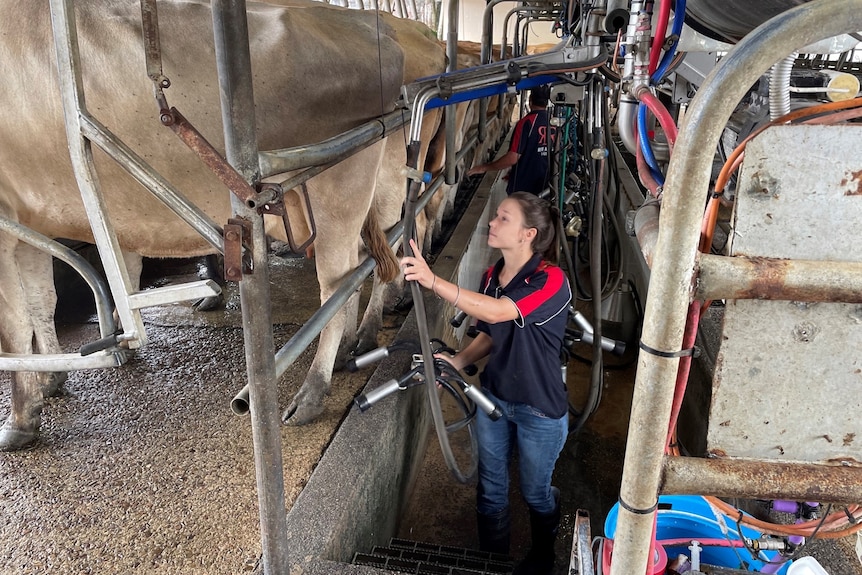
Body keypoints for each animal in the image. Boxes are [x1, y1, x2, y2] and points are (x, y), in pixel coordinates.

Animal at [0, 0, 446, 450]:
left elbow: (13, 327)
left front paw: (20, 417)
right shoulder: (30, 227)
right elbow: (41, 302)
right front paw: (50, 380)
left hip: (342, 196)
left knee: (343, 284)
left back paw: (315, 388)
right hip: (375, 187)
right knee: (380, 253)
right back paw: (352, 345)